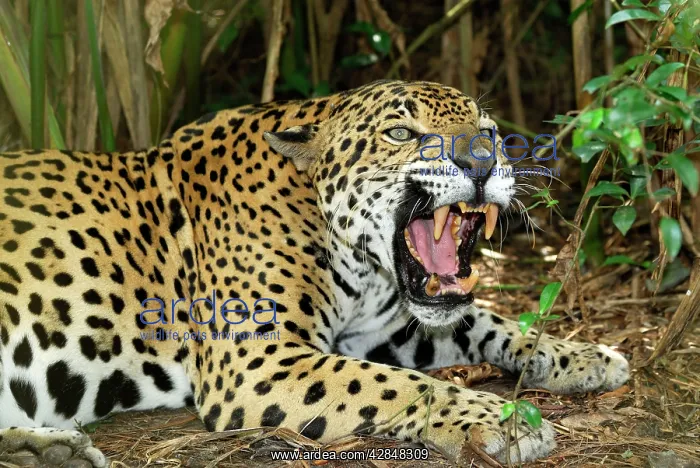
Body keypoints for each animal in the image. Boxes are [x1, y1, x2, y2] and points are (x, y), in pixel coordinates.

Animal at [0, 79, 629, 467]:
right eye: (401, 134)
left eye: (491, 132)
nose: (482, 162)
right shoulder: (256, 358)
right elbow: (395, 384)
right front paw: (501, 416)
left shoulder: (386, 327)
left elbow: (491, 323)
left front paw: (587, 356)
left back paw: (49, 450)